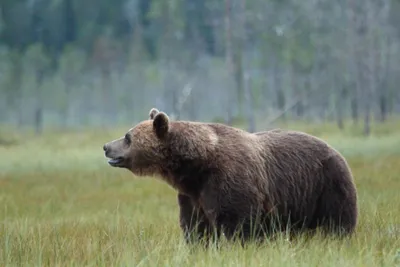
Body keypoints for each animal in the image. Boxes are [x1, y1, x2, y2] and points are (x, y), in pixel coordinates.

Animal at [102, 108, 356, 245]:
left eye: (127, 137)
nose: (106, 146)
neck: (195, 166)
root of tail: (337, 151)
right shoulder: (193, 194)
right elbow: (195, 225)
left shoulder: (229, 179)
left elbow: (236, 222)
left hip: (326, 185)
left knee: (337, 221)